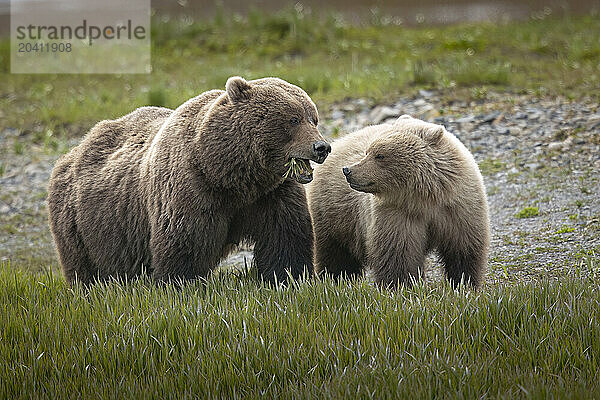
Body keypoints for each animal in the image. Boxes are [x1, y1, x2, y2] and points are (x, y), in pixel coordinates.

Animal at [48, 76, 330, 284]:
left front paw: (288, 277)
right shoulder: (191, 187)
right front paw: (183, 283)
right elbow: (184, 240)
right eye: (293, 119)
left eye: (313, 118)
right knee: (85, 266)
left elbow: (285, 235)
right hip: (83, 222)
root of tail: (73, 150)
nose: (322, 147)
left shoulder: (272, 193)